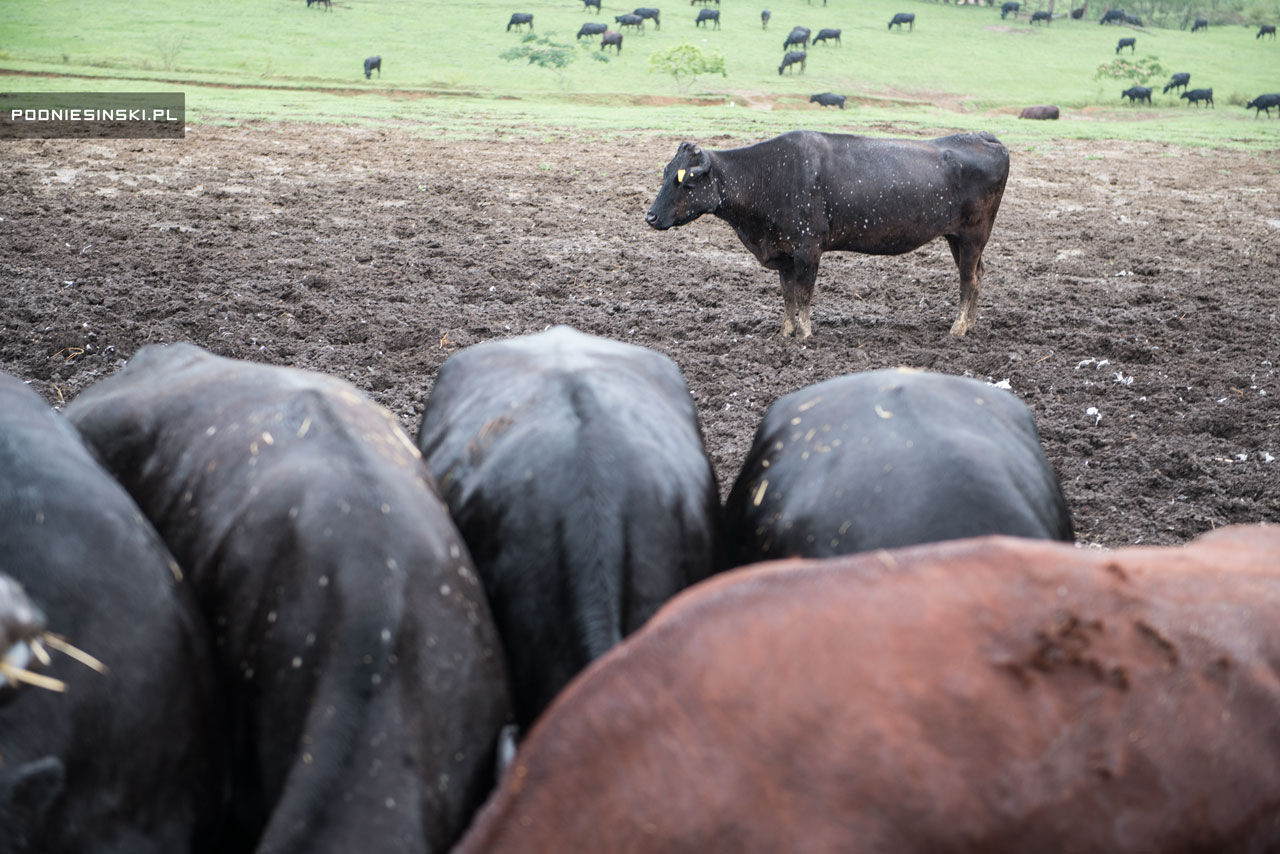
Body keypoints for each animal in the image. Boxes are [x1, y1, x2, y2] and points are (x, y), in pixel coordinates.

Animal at [645, 130, 1009, 338]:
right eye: (665, 174)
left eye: (685, 181)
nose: (650, 216)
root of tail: (984, 138)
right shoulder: (784, 254)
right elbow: (788, 294)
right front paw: (786, 331)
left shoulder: (808, 248)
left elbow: (804, 293)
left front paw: (805, 334)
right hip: (957, 238)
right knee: (978, 273)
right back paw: (970, 324)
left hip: (973, 235)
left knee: (968, 279)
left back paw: (958, 328)